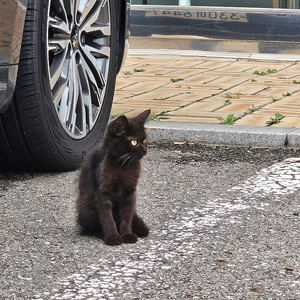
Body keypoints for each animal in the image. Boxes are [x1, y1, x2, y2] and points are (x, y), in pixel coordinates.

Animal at [75, 109, 150, 245]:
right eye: (134, 142)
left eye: (144, 140)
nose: (144, 150)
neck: (123, 165)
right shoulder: (102, 192)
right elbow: (107, 217)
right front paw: (113, 237)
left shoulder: (129, 192)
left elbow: (126, 215)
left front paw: (127, 234)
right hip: (87, 206)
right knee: (88, 227)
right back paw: (100, 233)